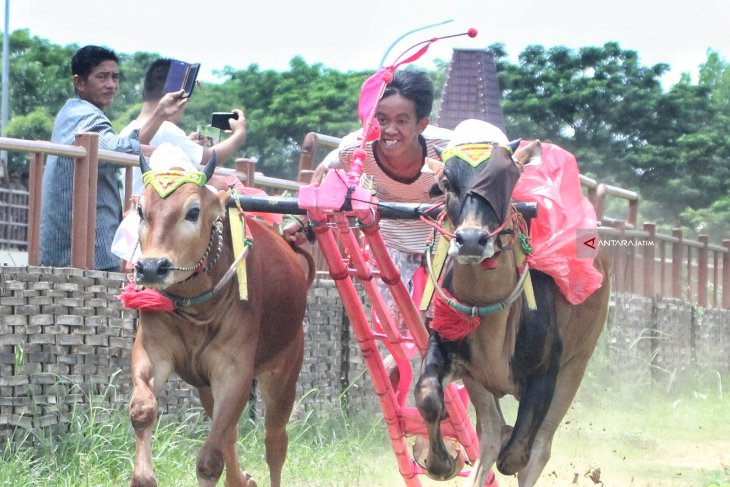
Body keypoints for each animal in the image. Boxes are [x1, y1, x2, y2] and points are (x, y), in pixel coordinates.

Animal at [126, 152, 312, 487]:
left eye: (193, 211)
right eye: (141, 210)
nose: (151, 267)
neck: (195, 303)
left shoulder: (234, 372)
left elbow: (210, 461)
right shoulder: (153, 353)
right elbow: (143, 411)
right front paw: (144, 476)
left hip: (283, 375)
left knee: (275, 442)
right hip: (207, 386)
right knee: (232, 435)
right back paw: (241, 479)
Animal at [410, 132, 608, 486]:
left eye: (508, 177)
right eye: (446, 182)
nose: (471, 240)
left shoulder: (546, 375)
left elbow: (517, 455)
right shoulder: (447, 349)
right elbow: (429, 396)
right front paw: (440, 461)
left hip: (577, 365)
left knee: (536, 448)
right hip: (479, 382)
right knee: (490, 434)